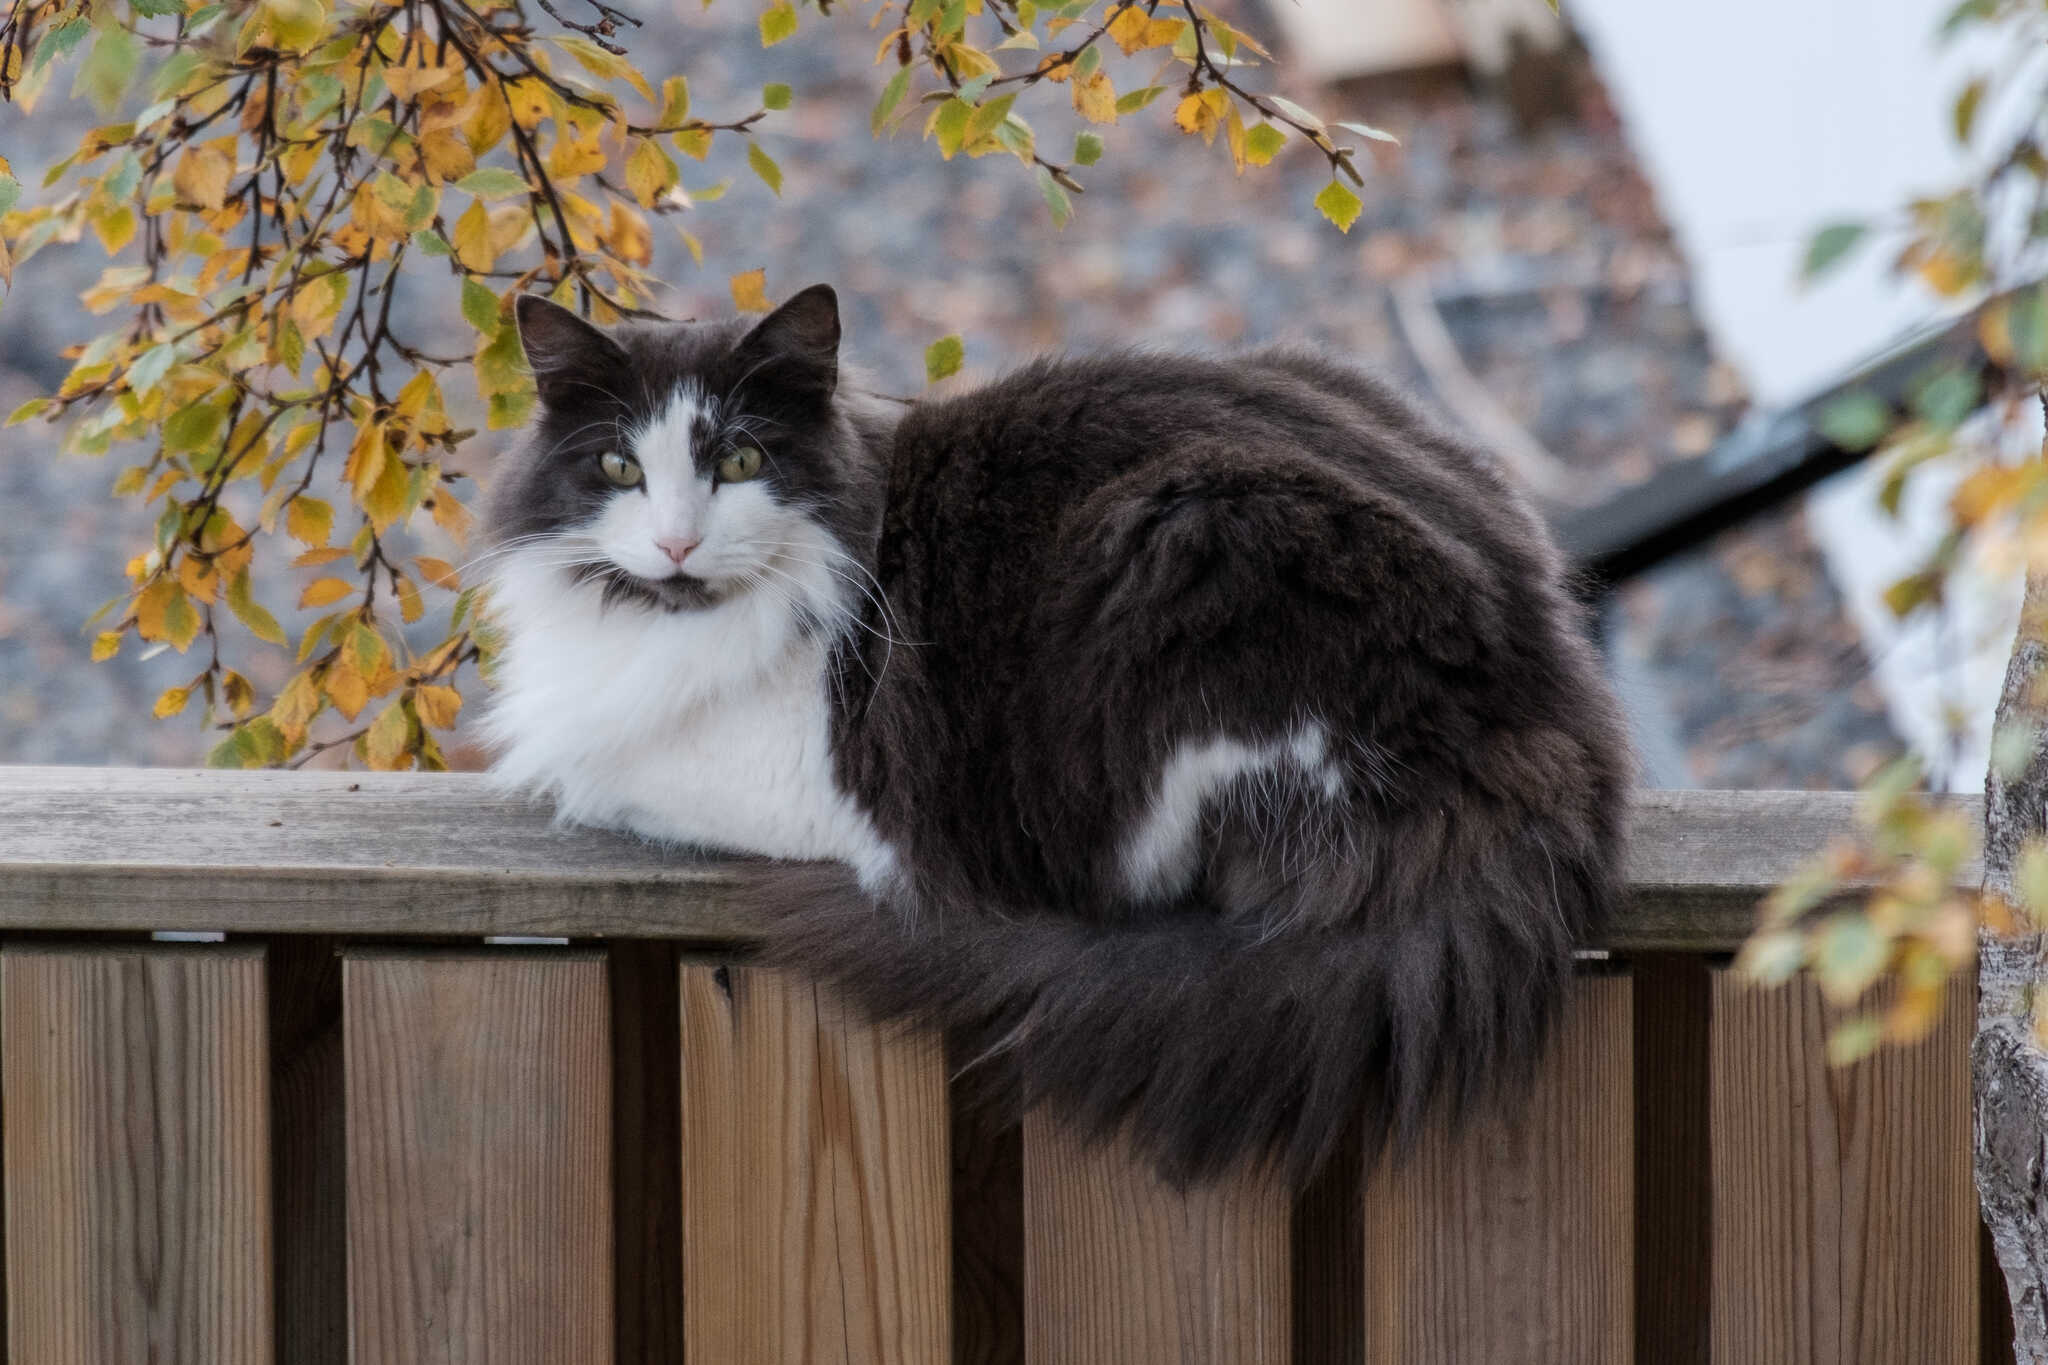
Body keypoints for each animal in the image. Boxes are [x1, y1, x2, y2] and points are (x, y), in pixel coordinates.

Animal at [479, 286, 1630, 1186]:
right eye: (619, 468)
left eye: (740, 460)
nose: (676, 544)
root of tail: (1555, 712)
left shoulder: (820, 784)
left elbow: (598, 771)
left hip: (1183, 551)